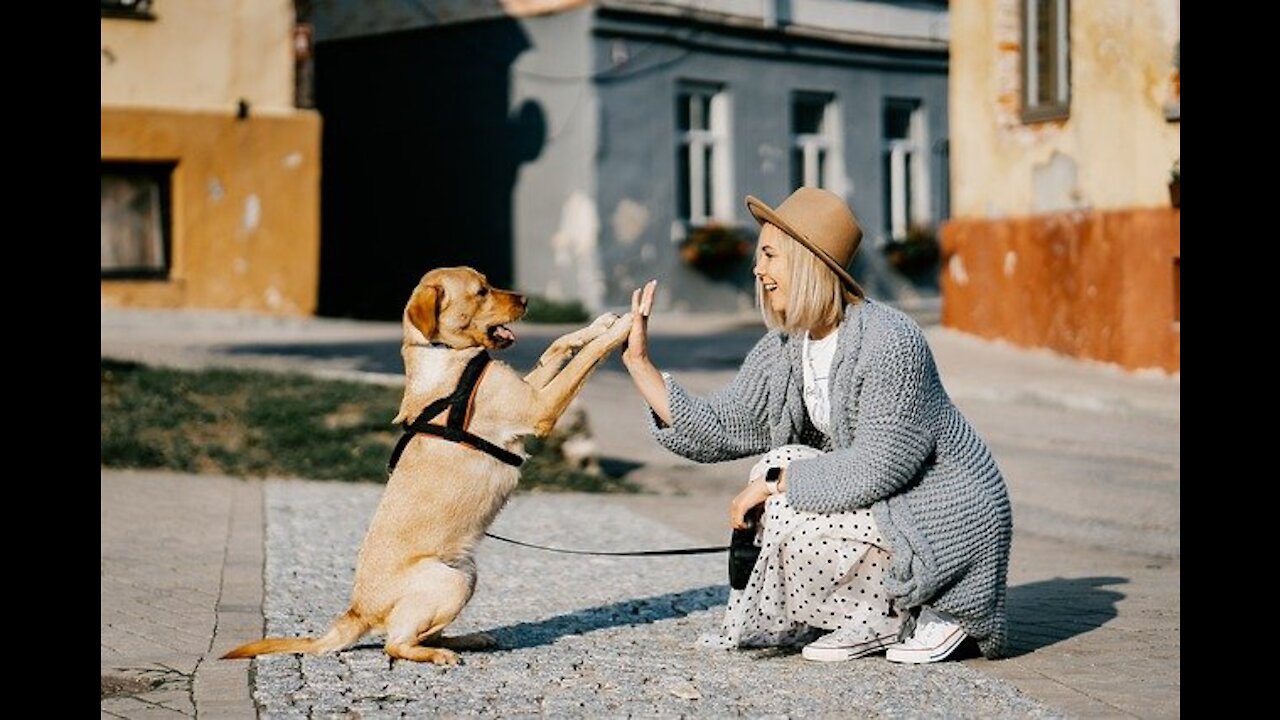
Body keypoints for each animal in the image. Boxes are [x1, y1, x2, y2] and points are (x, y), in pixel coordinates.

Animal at [227, 263, 637, 661]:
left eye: (489, 282)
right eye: (481, 291)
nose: (525, 299)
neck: (445, 354)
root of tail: (356, 612)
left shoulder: (530, 390)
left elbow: (558, 345)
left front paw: (600, 324)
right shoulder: (539, 407)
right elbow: (585, 359)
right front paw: (625, 326)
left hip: (467, 573)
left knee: (422, 634)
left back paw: (467, 640)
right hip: (449, 580)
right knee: (395, 643)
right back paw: (438, 654)